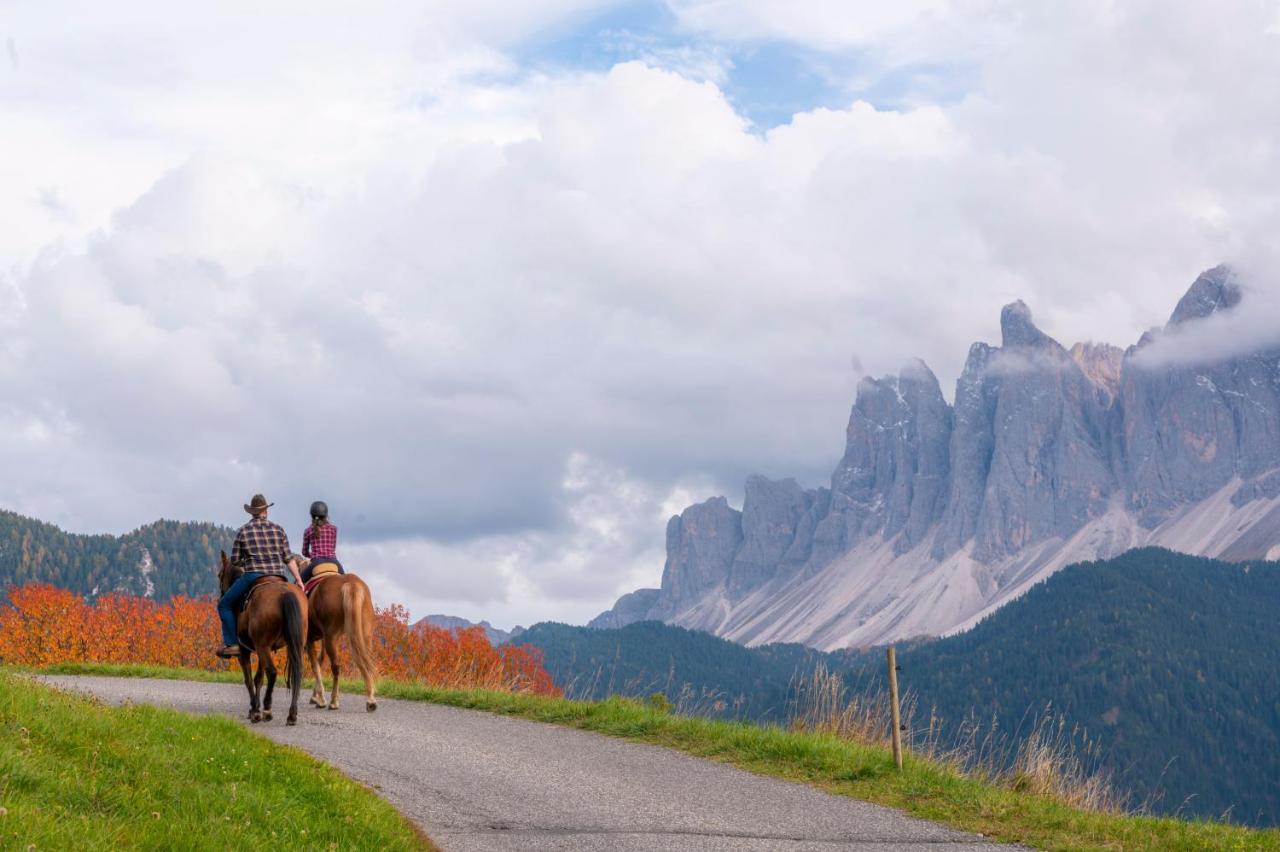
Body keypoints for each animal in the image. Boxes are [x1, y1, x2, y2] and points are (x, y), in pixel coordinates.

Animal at [220, 550, 307, 721]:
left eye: (219, 574)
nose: (221, 595)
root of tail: (284, 593)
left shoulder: (244, 651)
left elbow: (248, 679)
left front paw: (254, 709)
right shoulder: (260, 650)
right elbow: (258, 678)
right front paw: (255, 708)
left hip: (262, 646)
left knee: (272, 672)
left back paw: (267, 709)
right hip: (292, 645)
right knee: (296, 673)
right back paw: (292, 714)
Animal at [286, 550, 373, 711]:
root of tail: (350, 584)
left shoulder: (310, 639)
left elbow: (315, 665)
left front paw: (320, 699)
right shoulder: (323, 638)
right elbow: (320, 661)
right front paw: (316, 696)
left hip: (331, 638)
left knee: (336, 667)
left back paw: (333, 701)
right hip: (362, 635)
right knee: (366, 662)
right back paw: (371, 700)